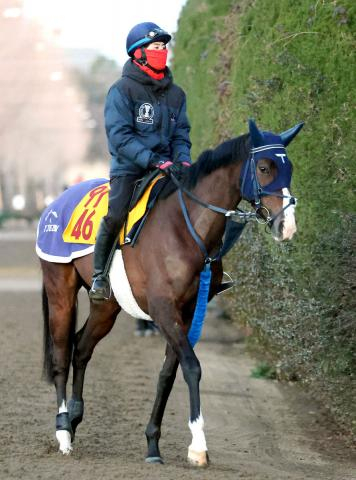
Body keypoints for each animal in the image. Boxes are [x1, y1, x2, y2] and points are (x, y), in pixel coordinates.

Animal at [38, 119, 304, 464]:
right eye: (264, 167)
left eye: (290, 168)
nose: (287, 226)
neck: (185, 228)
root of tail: (56, 204)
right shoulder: (163, 309)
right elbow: (192, 366)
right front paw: (199, 446)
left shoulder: (187, 313)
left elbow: (169, 373)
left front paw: (153, 443)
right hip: (61, 290)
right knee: (60, 354)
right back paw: (63, 433)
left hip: (107, 305)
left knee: (81, 347)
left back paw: (74, 418)